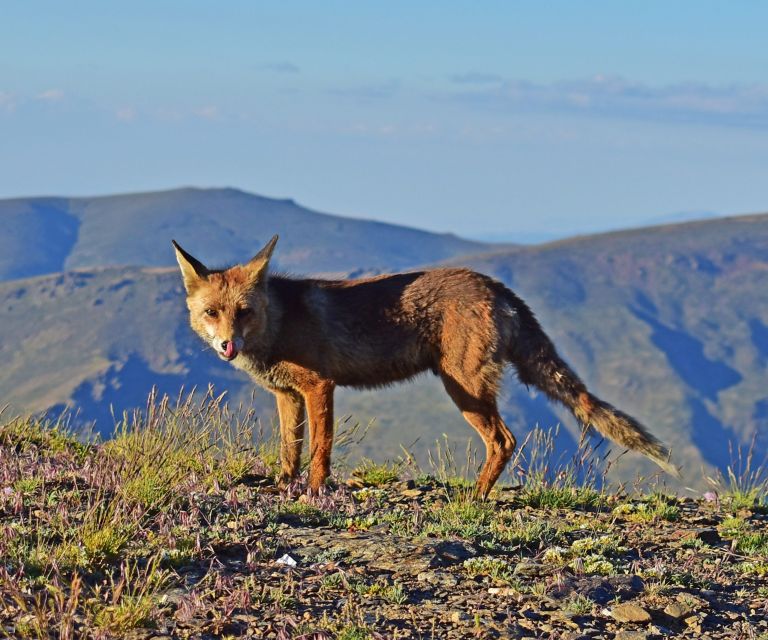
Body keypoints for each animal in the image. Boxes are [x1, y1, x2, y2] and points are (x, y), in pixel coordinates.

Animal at [174, 235, 680, 496]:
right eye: (212, 313)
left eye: (244, 312)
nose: (228, 345)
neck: (279, 322)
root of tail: (494, 285)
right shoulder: (287, 395)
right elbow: (288, 450)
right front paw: (283, 485)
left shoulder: (320, 386)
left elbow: (319, 451)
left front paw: (316, 492)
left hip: (464, 389)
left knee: (505, 441)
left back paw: (475, 498)